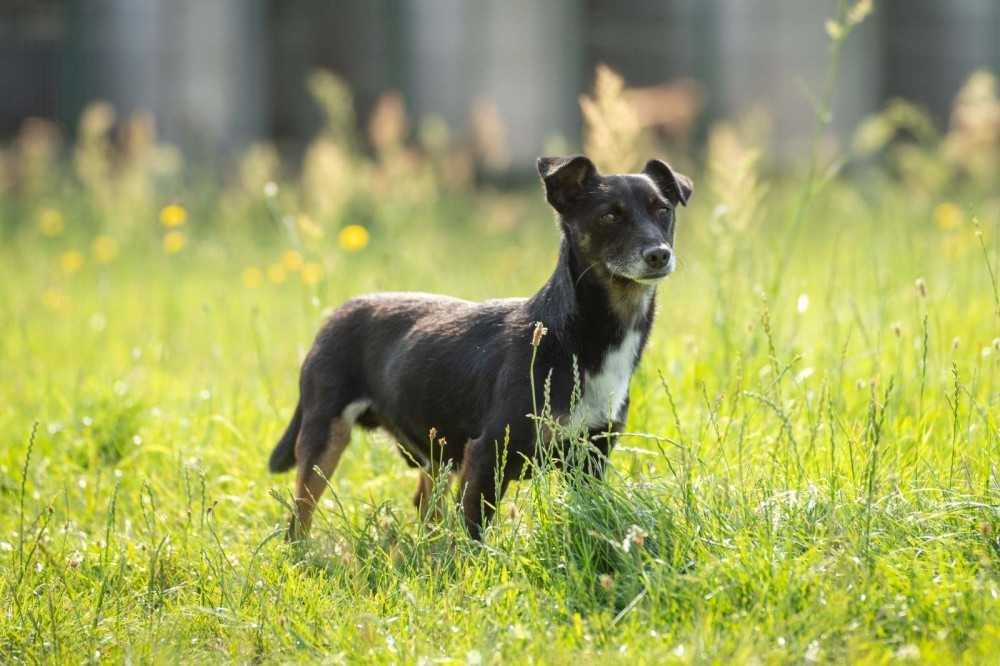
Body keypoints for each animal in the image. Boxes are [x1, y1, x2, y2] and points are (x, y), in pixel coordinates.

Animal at [270, 156, 692, 540]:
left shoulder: (589, 456)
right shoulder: (486, 456)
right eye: (609, 216)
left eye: (663, 210)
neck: (579, 336)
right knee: (299, 515)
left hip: (436, 447)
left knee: (425, 504)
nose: (659, 254)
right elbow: (475, 535)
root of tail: (334, 314)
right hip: (326, 435)